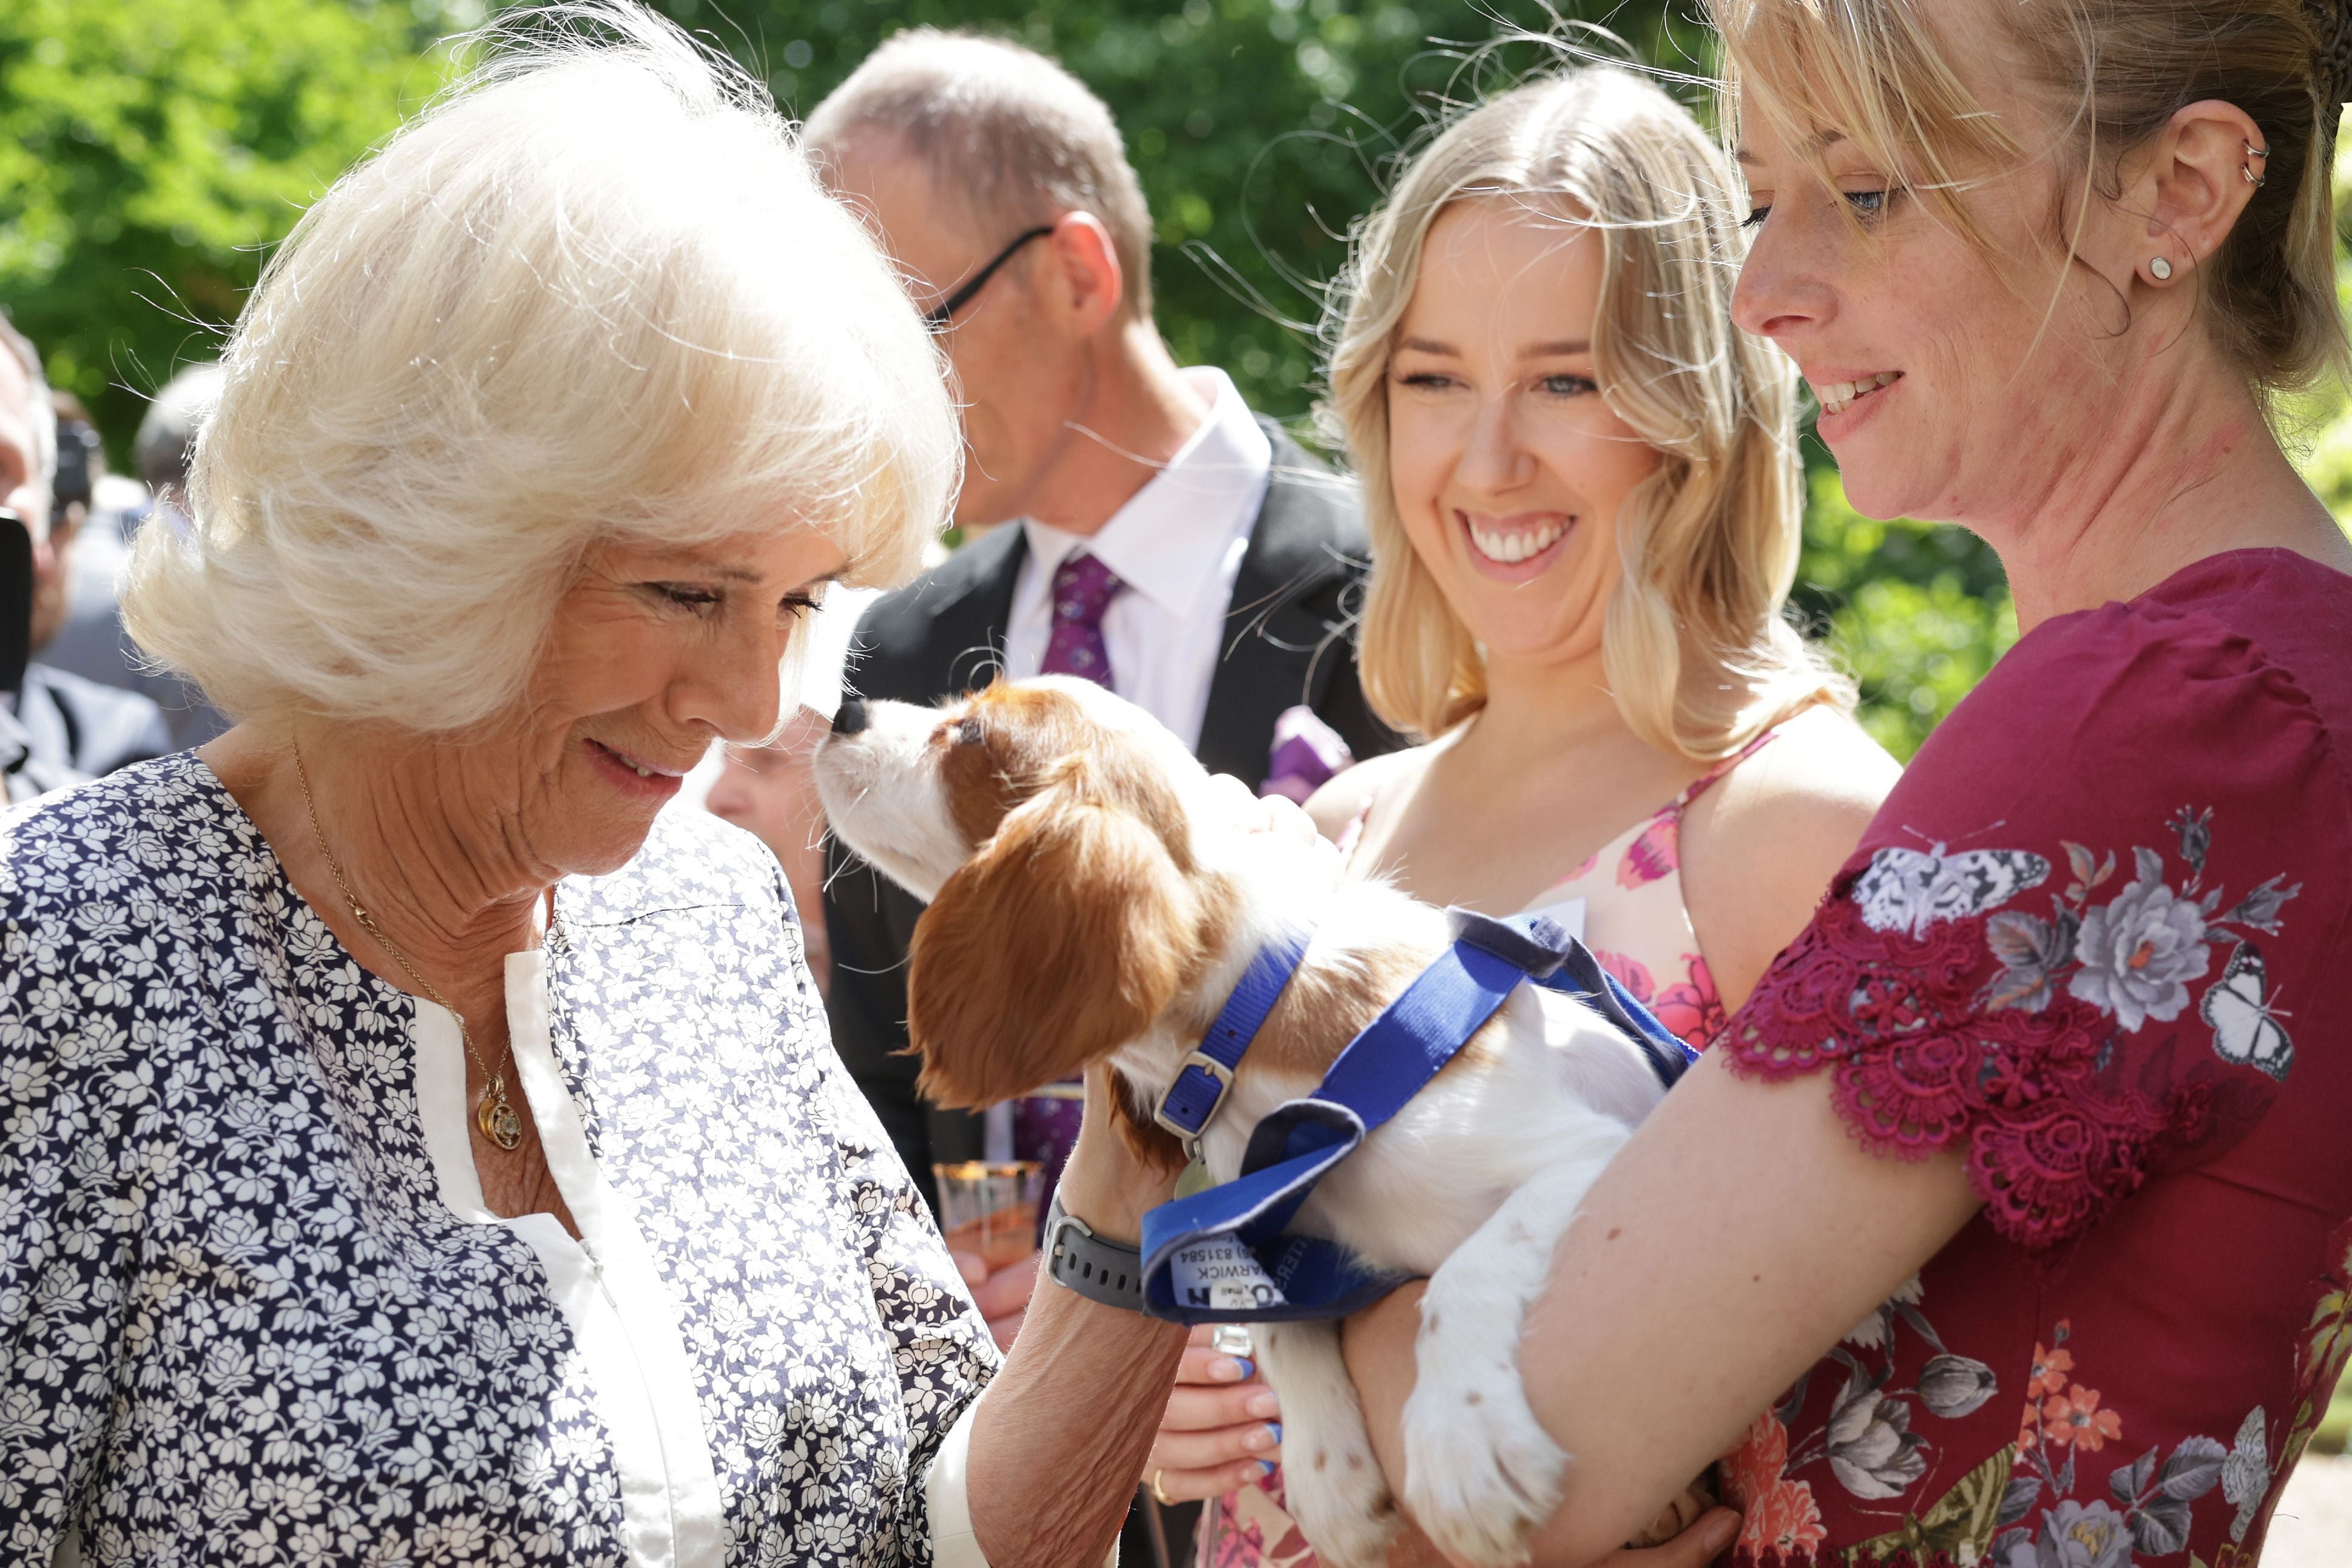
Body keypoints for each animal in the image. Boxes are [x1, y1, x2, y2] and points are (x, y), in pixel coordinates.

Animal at [818, 677, 1684, 1568]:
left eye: (971, 734)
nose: (843, 711)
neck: (1254, 1022)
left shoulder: (1591, 1152)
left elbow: (1466, 1271)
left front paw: (1464, 1442)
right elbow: (1274, 1326)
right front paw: (1329, 1477)